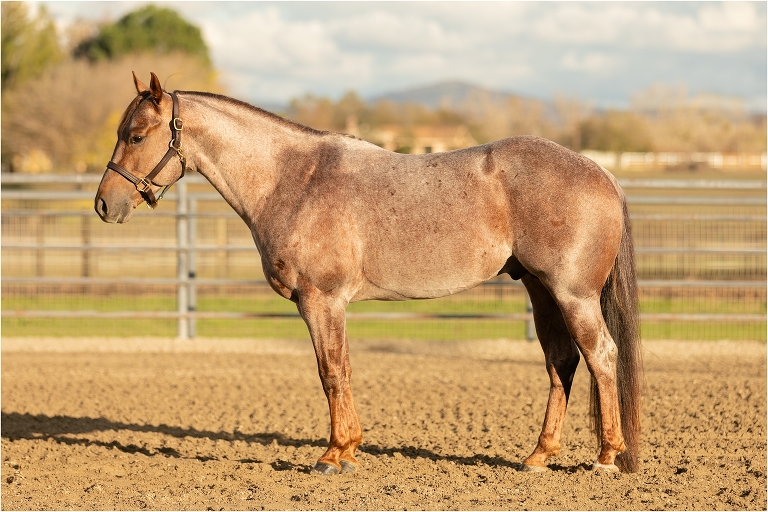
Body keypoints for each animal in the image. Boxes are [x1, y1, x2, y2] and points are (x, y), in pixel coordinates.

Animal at [95, 72, 643, 476]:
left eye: (137, 136)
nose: (104, 204)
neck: (292, 179)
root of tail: (603, 174)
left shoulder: (321, 300)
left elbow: (331, 372)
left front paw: (333, 455)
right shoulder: (328, 304)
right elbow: (342, 369)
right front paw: (349, 450)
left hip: (572, 295)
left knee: (601, 356)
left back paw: (606, 457)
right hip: (541, 291)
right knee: (561, 364)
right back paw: (538, 457)